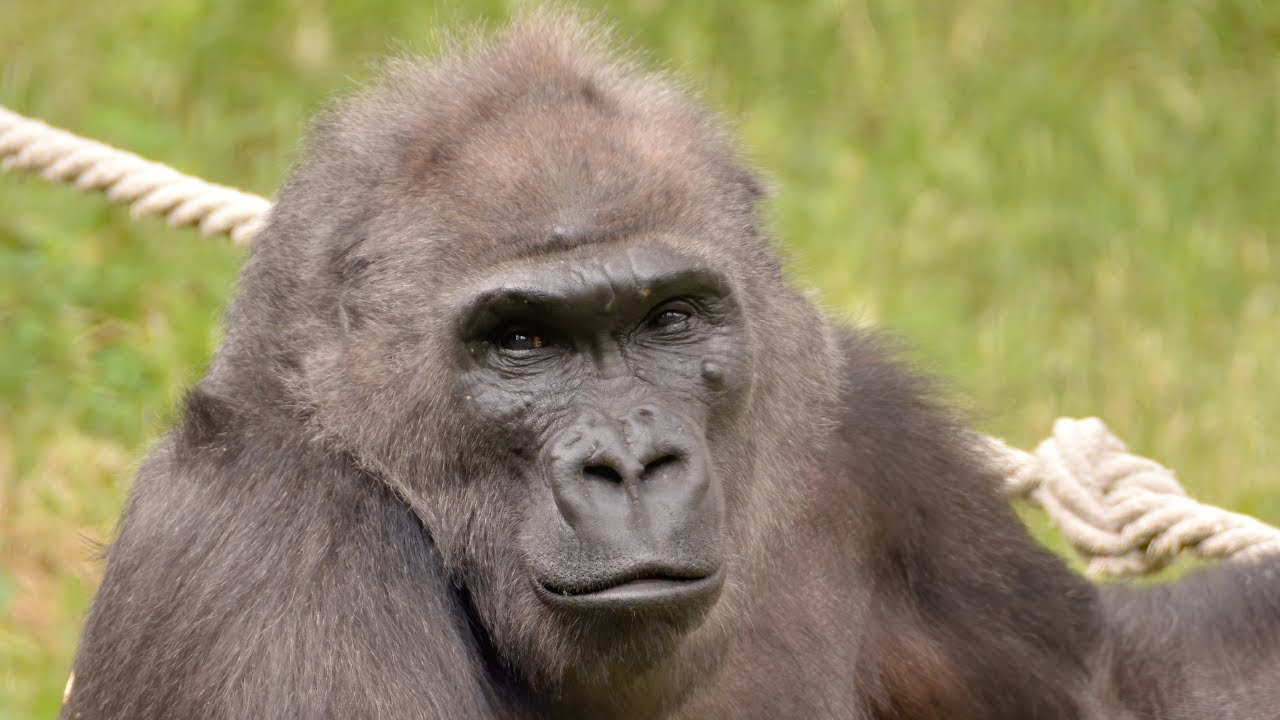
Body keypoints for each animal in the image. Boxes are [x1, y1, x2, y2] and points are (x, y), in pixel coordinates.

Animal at [61, 11, 1280, 720]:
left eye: (671, 322)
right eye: (522, 342)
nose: (633, 466)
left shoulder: (865, 424)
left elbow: (1120, 683)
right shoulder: (264, 543)